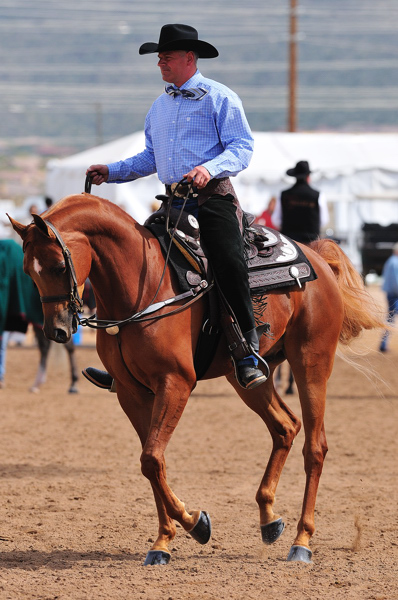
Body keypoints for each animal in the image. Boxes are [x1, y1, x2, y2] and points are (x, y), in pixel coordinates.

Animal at [8, 193, 382, 568]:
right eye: (28, 270)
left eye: (59, 266)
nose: (57, 330)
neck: (143, 286)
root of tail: (317, 258)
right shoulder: (132, 393)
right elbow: (152, 462)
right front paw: (163, 541)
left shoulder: (176, 383)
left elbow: (151, 457)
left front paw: (195, 524)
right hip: (250, 378)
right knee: (285, 426)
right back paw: (269, 519)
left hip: (311, 364)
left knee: (315, 447)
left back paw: (302, 541)